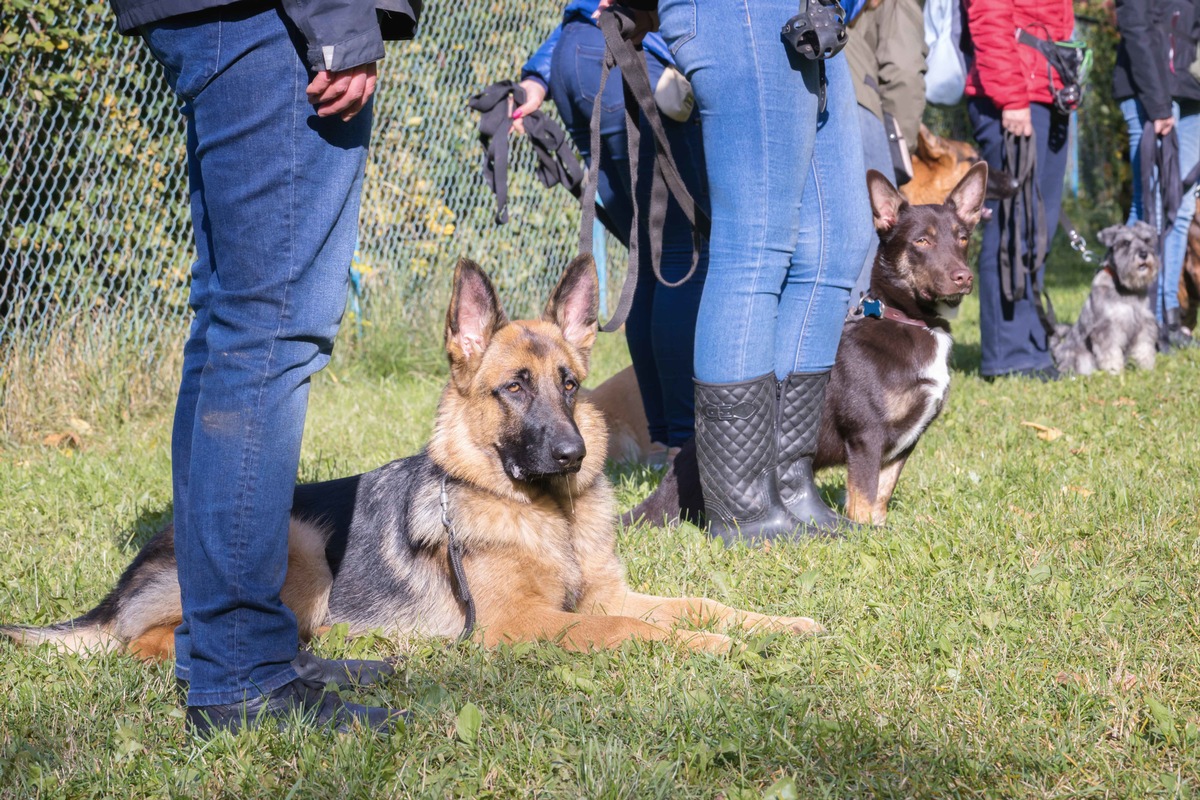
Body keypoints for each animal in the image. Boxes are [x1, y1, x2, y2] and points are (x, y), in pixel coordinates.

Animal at [0, 257, 820, 662]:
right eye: (514, 387)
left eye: (569, 384)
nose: (573, 452)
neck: (544, 516)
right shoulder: (519, 624)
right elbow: (625, 630)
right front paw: (704, 647)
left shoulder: (607, 591)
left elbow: (697, 604)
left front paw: (778, 624)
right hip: (299, 542)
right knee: (152, 642)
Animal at [624, 160, 988, 532]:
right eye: (922, 241)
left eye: (962, 238)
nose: (964, 277)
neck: (911, 320)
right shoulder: (866, 437)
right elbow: (864, 498)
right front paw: (865, 535)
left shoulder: (903, 445)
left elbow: (881, 498)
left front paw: (880, 531)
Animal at [1056, 220, 1156, 376]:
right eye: (1125, 243)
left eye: (1146, 240)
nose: (1144, 254)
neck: (1126, 288)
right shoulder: (1107, 328)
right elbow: (1110, 352)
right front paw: (1114, 371)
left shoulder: (1144, 323)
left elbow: (1144, 347)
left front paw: (1147, 369)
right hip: (1080, 357)